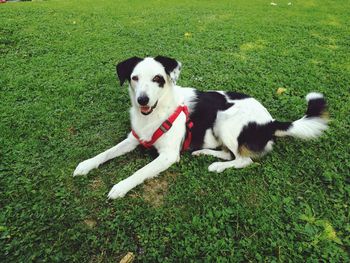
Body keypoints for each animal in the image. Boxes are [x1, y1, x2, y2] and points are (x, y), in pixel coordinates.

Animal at [72, 56, 330, 200]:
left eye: (158, 79)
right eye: (135, 78)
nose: (142, 100)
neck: (158, 111)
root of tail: (271, 121)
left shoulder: (168, 156)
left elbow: (140, 172)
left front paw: (120, 186)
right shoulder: (134, 138)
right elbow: (106, 153)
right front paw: (86, 165)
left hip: (225, 120)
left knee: (243, 159)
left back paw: (217, 166)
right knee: (228, 153)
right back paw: (203, 153)